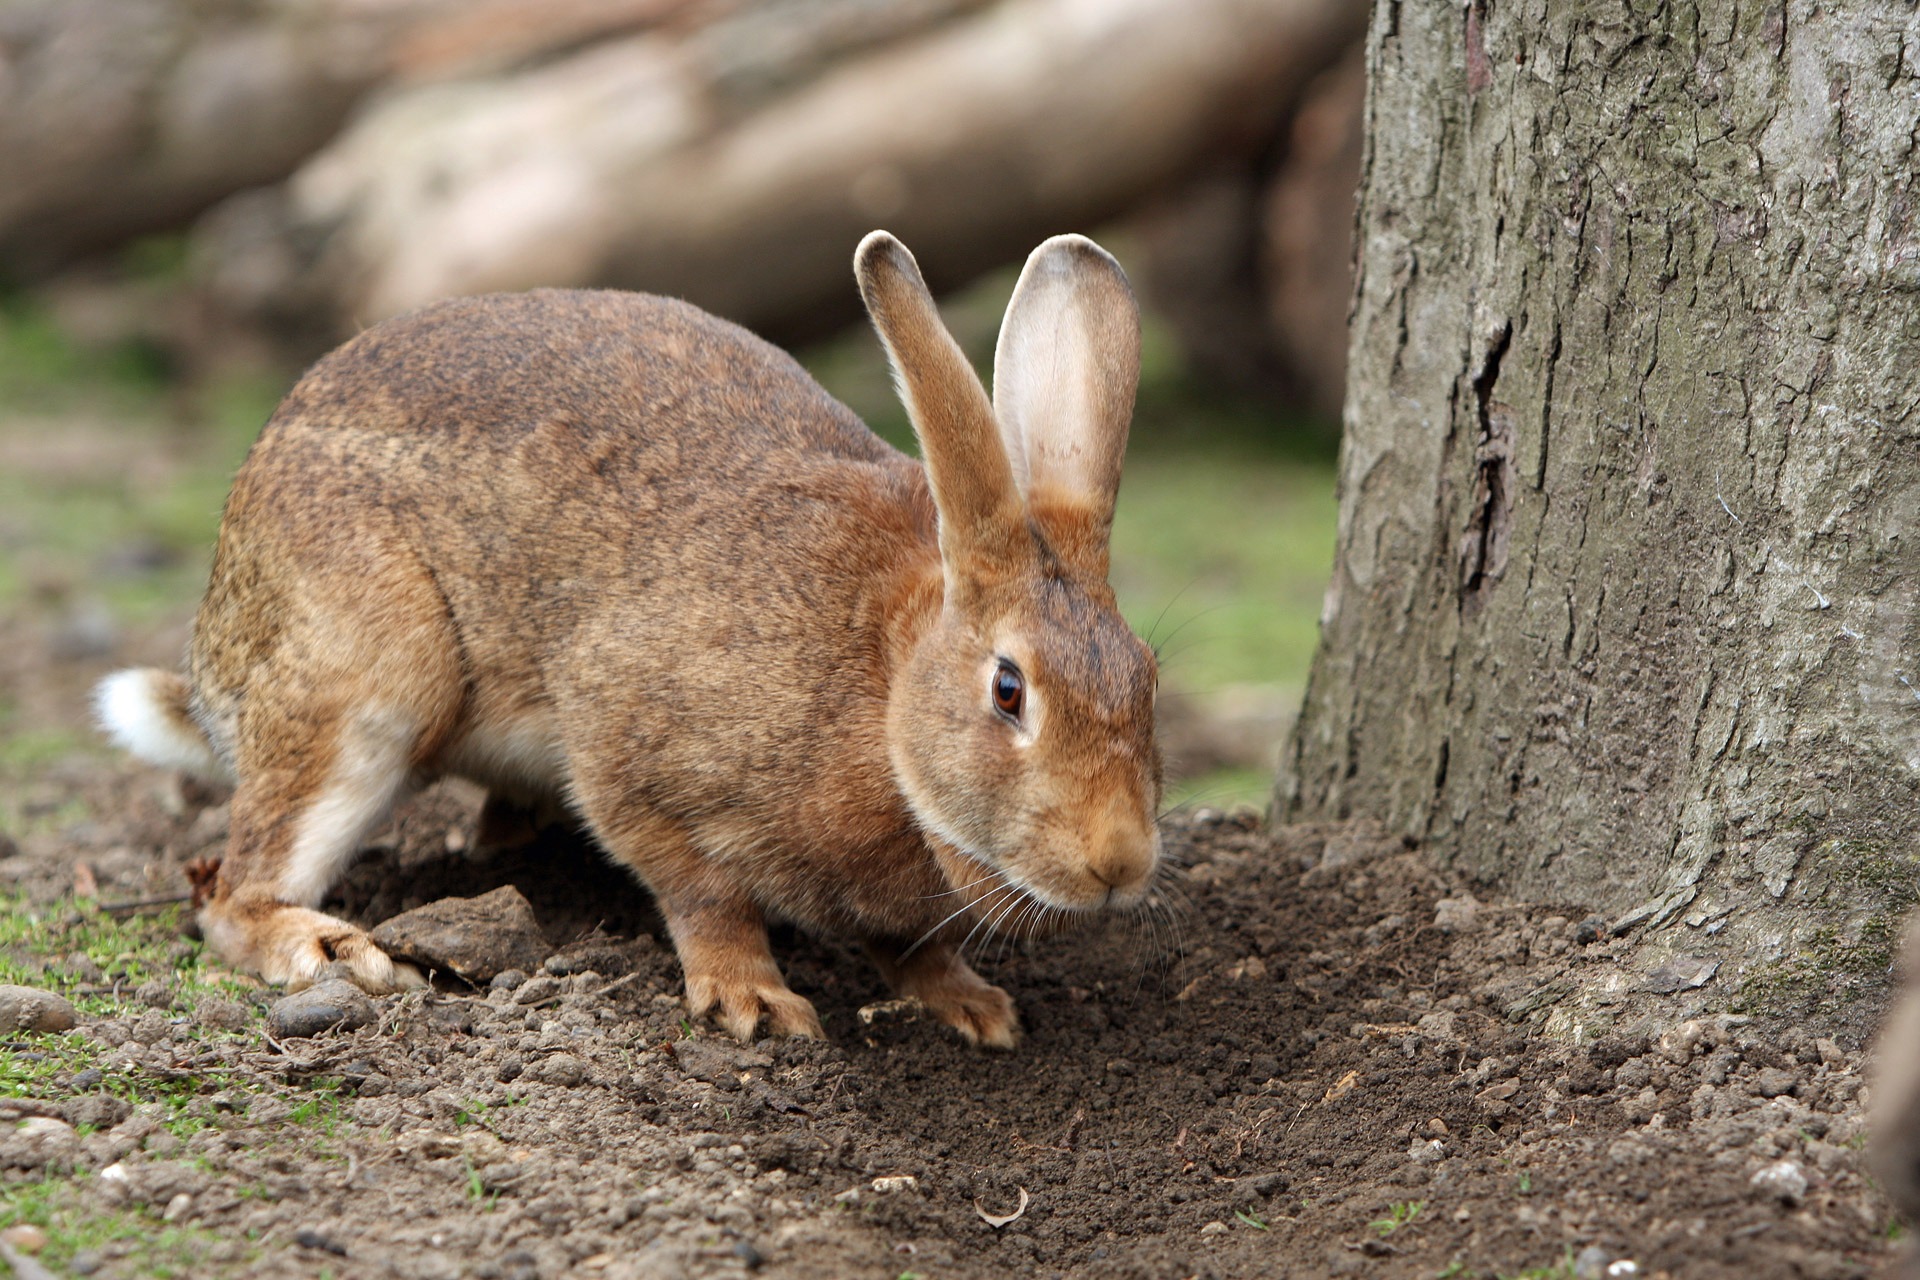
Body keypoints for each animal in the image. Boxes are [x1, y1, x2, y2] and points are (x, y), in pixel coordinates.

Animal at [97, 233, 1159, 1051]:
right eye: (1009, 690)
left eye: (1148, 681)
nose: (1120, 863)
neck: (885, 682)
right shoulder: (631, 752)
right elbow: (702, 894)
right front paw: (755, 1002)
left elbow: (914, 947)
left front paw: (974, 1008)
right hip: (366, 680)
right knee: (233, 890)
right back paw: (328, 949)